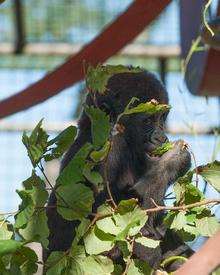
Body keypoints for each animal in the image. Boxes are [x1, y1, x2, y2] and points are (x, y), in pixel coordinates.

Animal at [45, 69, 192, 272]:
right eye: (147, 120)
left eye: (162, 118)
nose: (161, 138)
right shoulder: (110, 148)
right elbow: (119, 223)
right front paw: (174, 160)